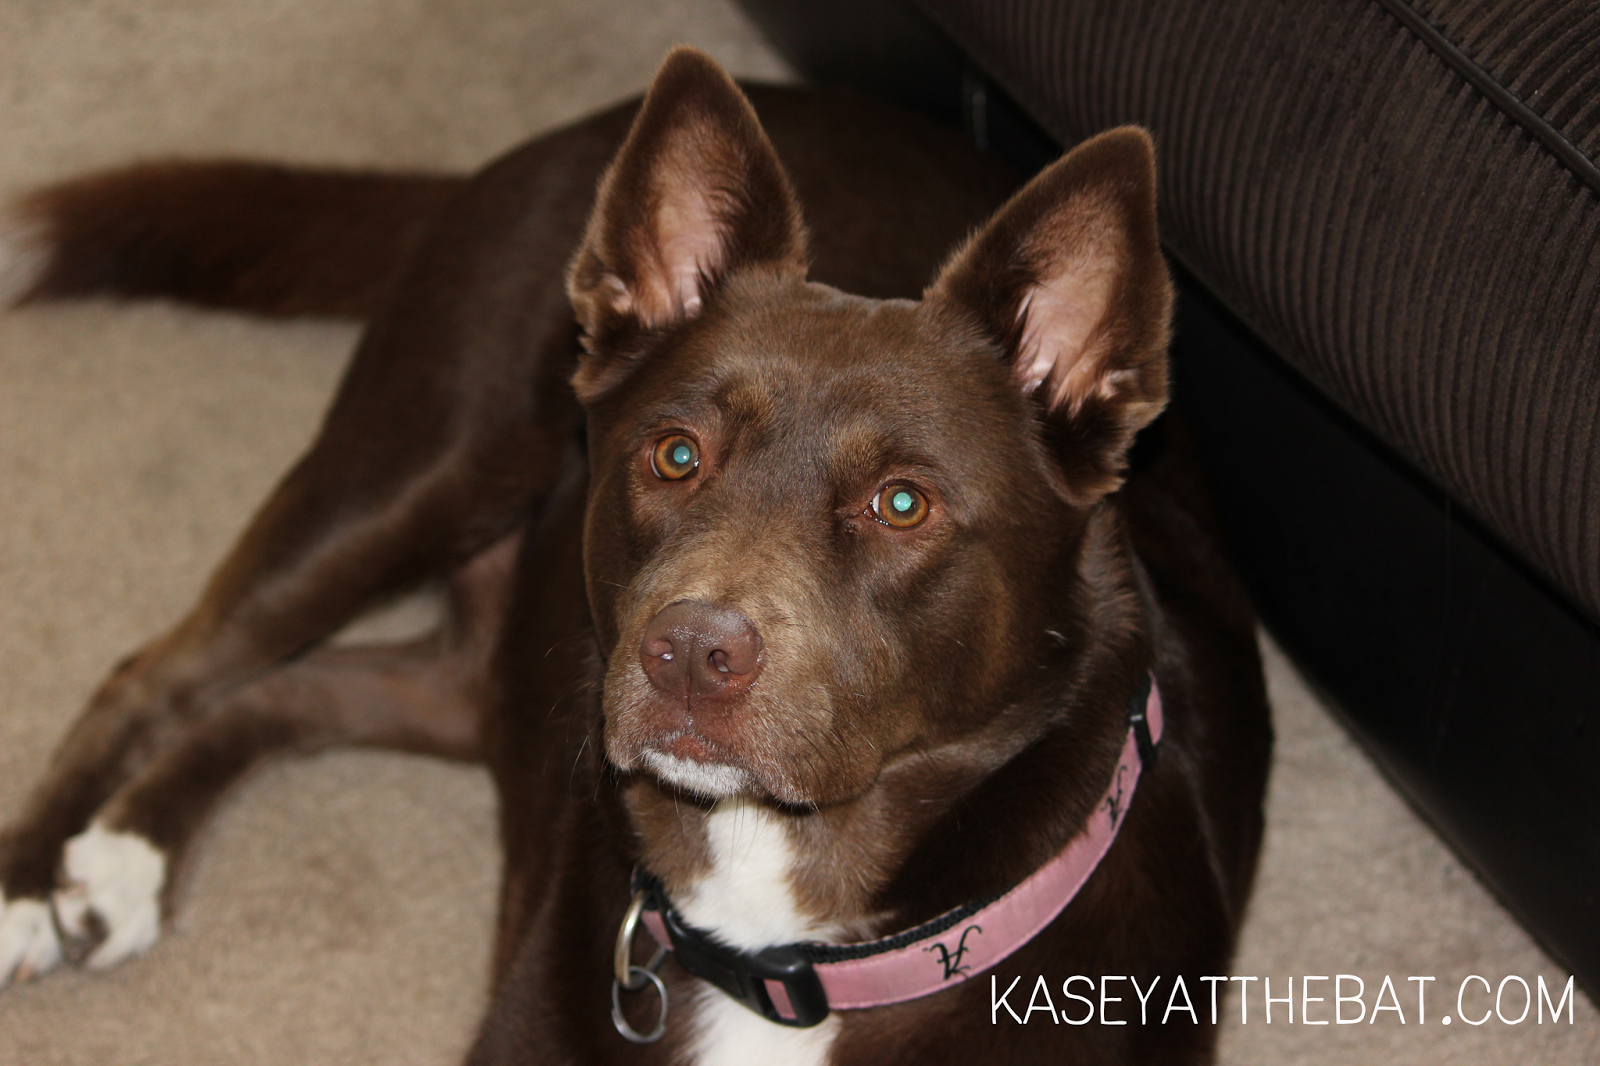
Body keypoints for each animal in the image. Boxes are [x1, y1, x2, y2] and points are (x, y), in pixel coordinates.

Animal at [0, 48, 1270, 1064]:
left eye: (901, 502)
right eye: (675, 453)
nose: (688, 654)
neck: (794, 956)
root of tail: (562, 136)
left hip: (497, 657)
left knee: (301, 686)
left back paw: (122, 857)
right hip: (424, 466)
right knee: (166, 666)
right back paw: (31, 880)